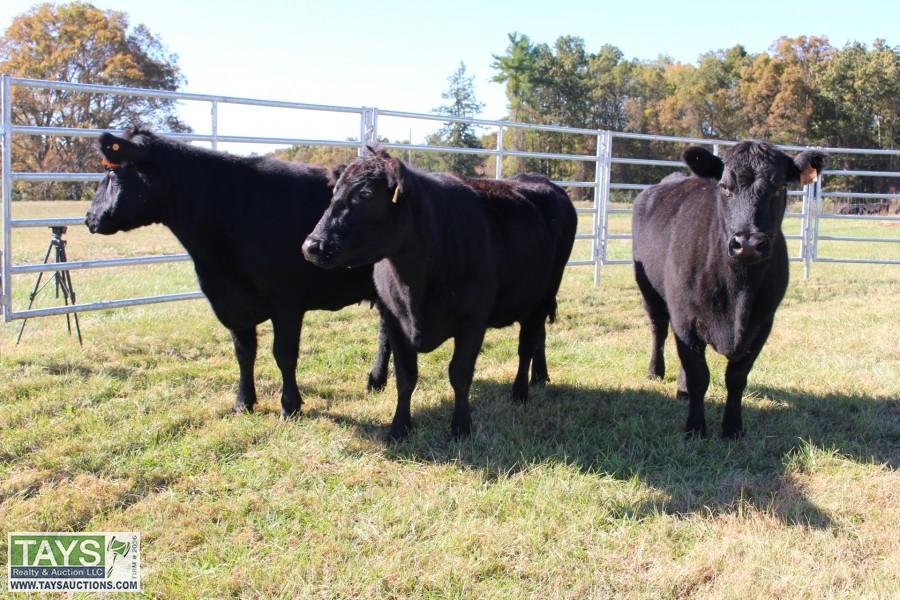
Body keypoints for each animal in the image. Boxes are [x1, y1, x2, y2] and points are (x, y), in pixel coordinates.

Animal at [85, 127, 391, 417]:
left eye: (110, 171)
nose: (89, 218)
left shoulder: (287, 301)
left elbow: (284, 354)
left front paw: (290, 405)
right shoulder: (232, 303)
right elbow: (244, 353)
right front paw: (244, 402)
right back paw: (376, 382)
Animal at [301, 149, 577, 440]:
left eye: (366, 194)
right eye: (334, 192)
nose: (312, 246)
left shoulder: (473, 320)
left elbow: (460, 374)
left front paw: (461, 427)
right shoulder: (394, 319)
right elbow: (406, 376)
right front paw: (399, 427)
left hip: (545, 292)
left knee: (527, 344)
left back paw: (520, 391)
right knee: (538, 336)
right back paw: (539, 377)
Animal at [632, 141, 826, 438]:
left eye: (779, 187)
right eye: (724, 187)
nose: (747, 243)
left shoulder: (762, 323)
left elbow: (736, 378)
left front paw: (733, 428)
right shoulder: (686, 318)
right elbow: (699, 375)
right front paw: (695, 428)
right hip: (649, 291)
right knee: (659, 330)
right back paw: (656, 371)